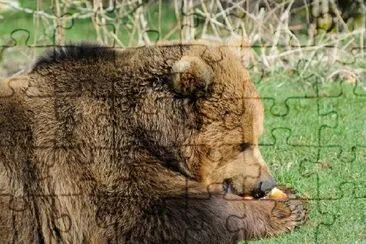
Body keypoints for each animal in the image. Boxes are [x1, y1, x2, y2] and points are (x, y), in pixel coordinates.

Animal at [0, 41, 306, 242]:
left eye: (256, 137)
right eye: (241, 144)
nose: (265, 183)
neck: (146, 132)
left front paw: (289, 194)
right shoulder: (90, 157)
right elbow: (154, 213)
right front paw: (286, 209)